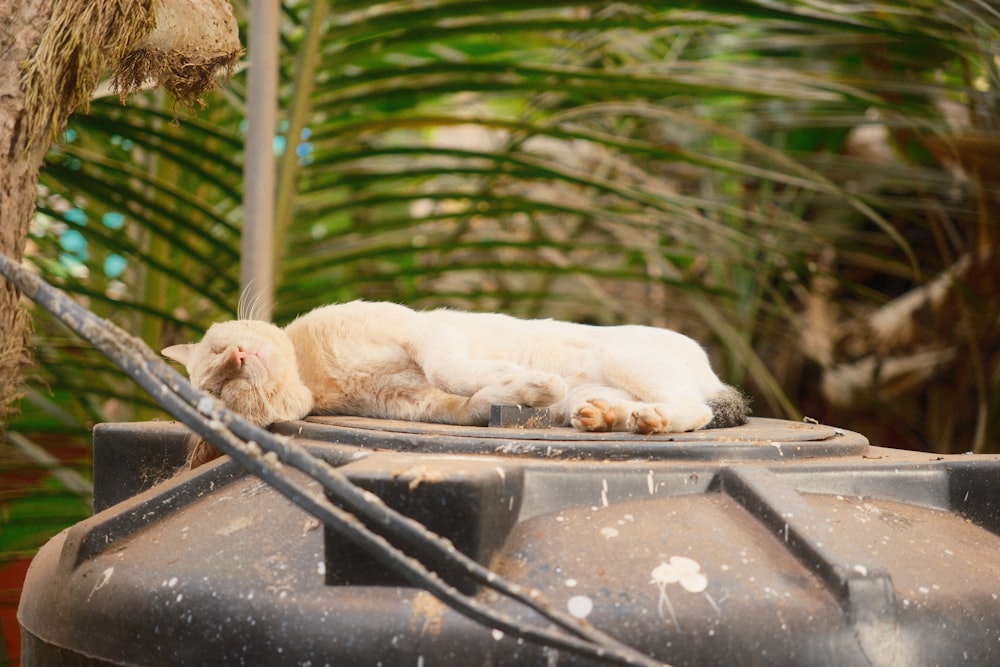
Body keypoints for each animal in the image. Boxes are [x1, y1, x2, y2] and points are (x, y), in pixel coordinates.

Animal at [162, 300, 744, 468]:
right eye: (220, 387)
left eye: (215, 354)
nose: (236, 356)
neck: (313, 370)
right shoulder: (425, 406)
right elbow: (476, 400)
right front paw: (525, 387)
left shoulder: (420, 330)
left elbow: (450, 367)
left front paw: (516, 374)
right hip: (602, 391)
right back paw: (605, 416)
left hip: (626, 357)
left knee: (695, 409)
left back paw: (653, 418)